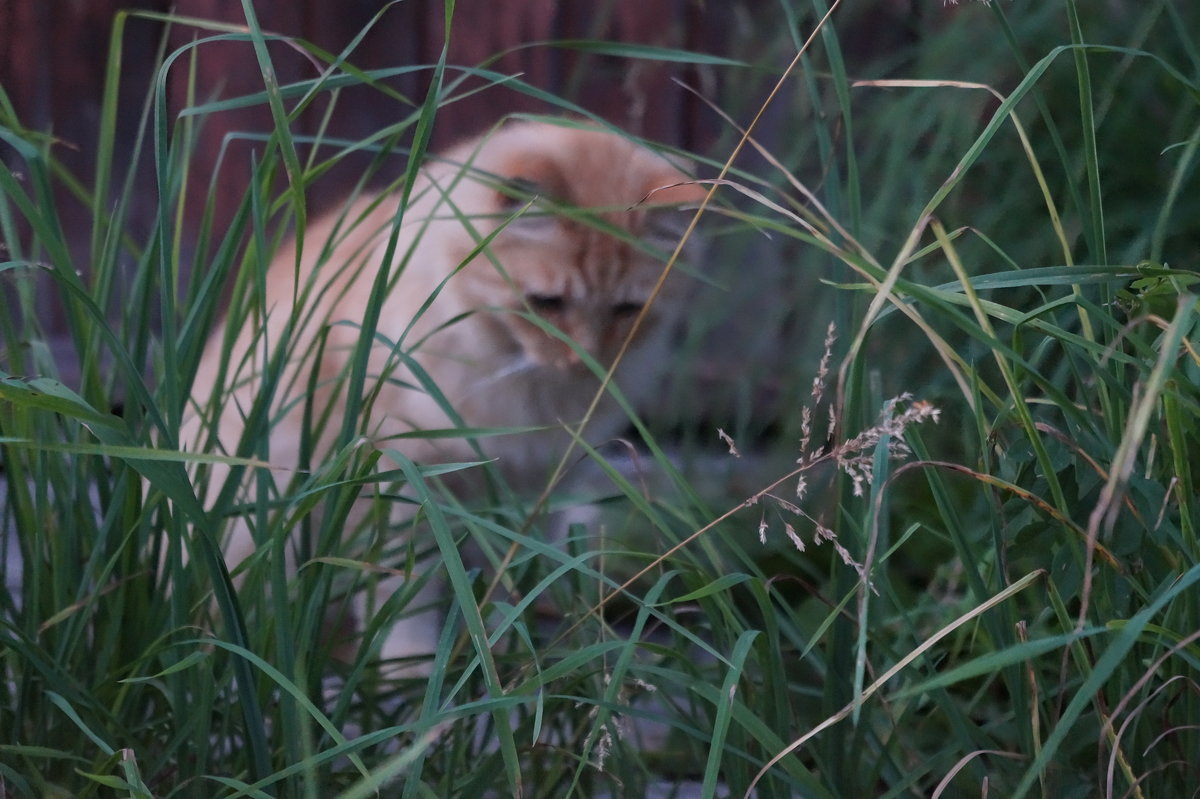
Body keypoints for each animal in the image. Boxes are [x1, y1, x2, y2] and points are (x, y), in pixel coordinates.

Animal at [177, 116, 700, 667]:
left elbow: (508, 588)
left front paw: (502, 656)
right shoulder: (401, 483)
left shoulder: (529, 497)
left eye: (628, 310)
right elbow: (404, 599)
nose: (583, 361)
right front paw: (411, 669)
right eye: (547, 303)